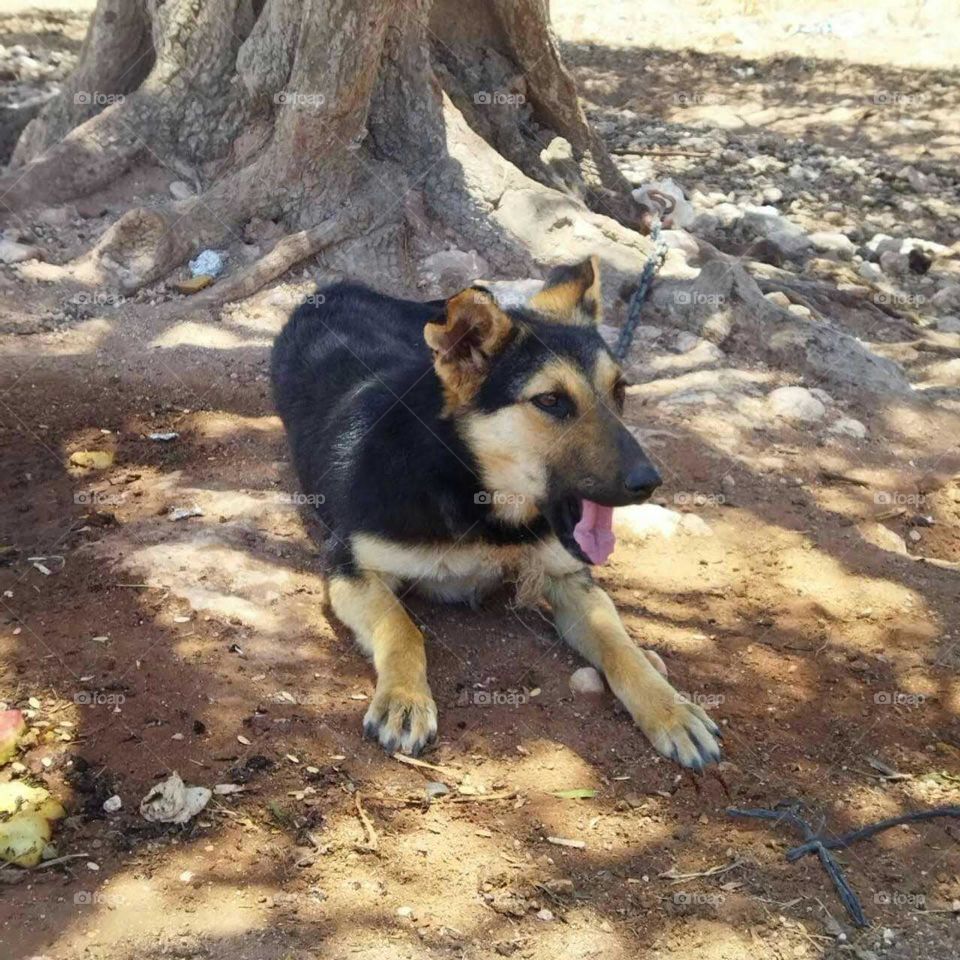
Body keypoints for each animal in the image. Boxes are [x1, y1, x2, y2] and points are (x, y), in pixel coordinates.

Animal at [270, 258, 720, 768]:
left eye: (619, 391)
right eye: (550, 400)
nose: (648, 482)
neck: (477, 498)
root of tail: (338, 287)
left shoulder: (571, 578)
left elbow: (620, 643)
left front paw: (671, 708)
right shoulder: (347, 566)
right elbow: (402, 628)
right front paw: (404, 699)